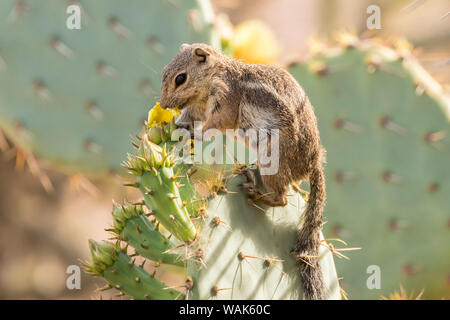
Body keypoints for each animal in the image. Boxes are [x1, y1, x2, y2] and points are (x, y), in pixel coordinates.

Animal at [161, 43, 326, 300]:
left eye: (180, 78)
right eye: (164, 73)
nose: (163, 104)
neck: (214, 77)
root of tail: (314, 162)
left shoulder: (226, 100)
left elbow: (215, 124)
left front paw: (193, 133)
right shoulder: (197, 108)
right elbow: (190, 117)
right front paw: (175, 124)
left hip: (273, 162)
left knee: (282, 199)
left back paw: (255, 192)